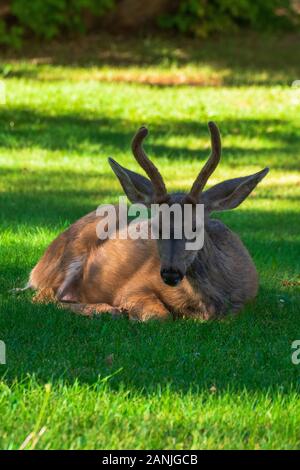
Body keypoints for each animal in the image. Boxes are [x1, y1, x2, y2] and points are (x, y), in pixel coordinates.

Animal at [22, 121, 268, 322]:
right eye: (155, 227)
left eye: (195, 227)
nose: (170, 273)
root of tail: (38, 268)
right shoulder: (132, 286)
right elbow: (159, 317)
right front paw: (125, 312)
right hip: (70, 254)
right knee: (44, 297)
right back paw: (106, 310)